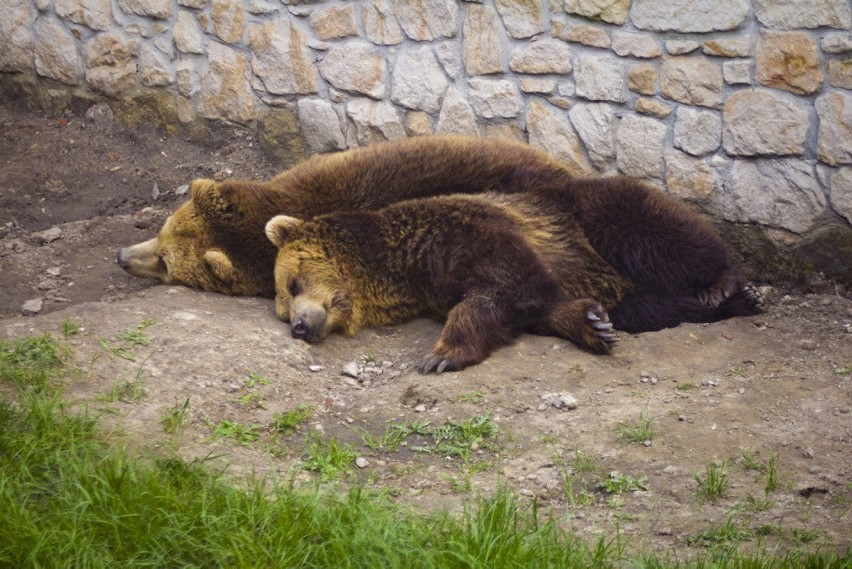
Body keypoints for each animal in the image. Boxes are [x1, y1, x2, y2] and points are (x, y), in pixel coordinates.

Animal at [266, 178, 764, 372]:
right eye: (283, 308)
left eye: (292, 283)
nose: (298, 326)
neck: (401, 265)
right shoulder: (437, 281)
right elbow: (536, 307)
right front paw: (593, 323)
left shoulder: (464, 233)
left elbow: (507, 285)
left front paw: (441, 354)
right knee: (649, 307)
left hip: (599, 215)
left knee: (667, 240)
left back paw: (727, 284)